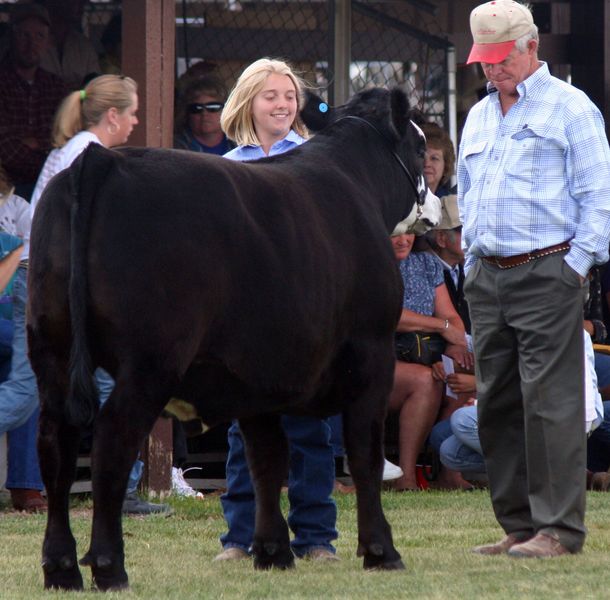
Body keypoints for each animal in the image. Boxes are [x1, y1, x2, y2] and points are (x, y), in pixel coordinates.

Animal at [27, 86, 436, 588]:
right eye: (420, 148)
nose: (436, 206)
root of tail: (103, 159)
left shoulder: (257, 376)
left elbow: (267, 462)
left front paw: (272, 551)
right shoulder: (372, 352)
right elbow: (364, 455)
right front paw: (381, 550)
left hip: (52, 349)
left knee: (56, 447)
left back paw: (61, 568)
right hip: (149, 364)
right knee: (111, 444)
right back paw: (109, 566)